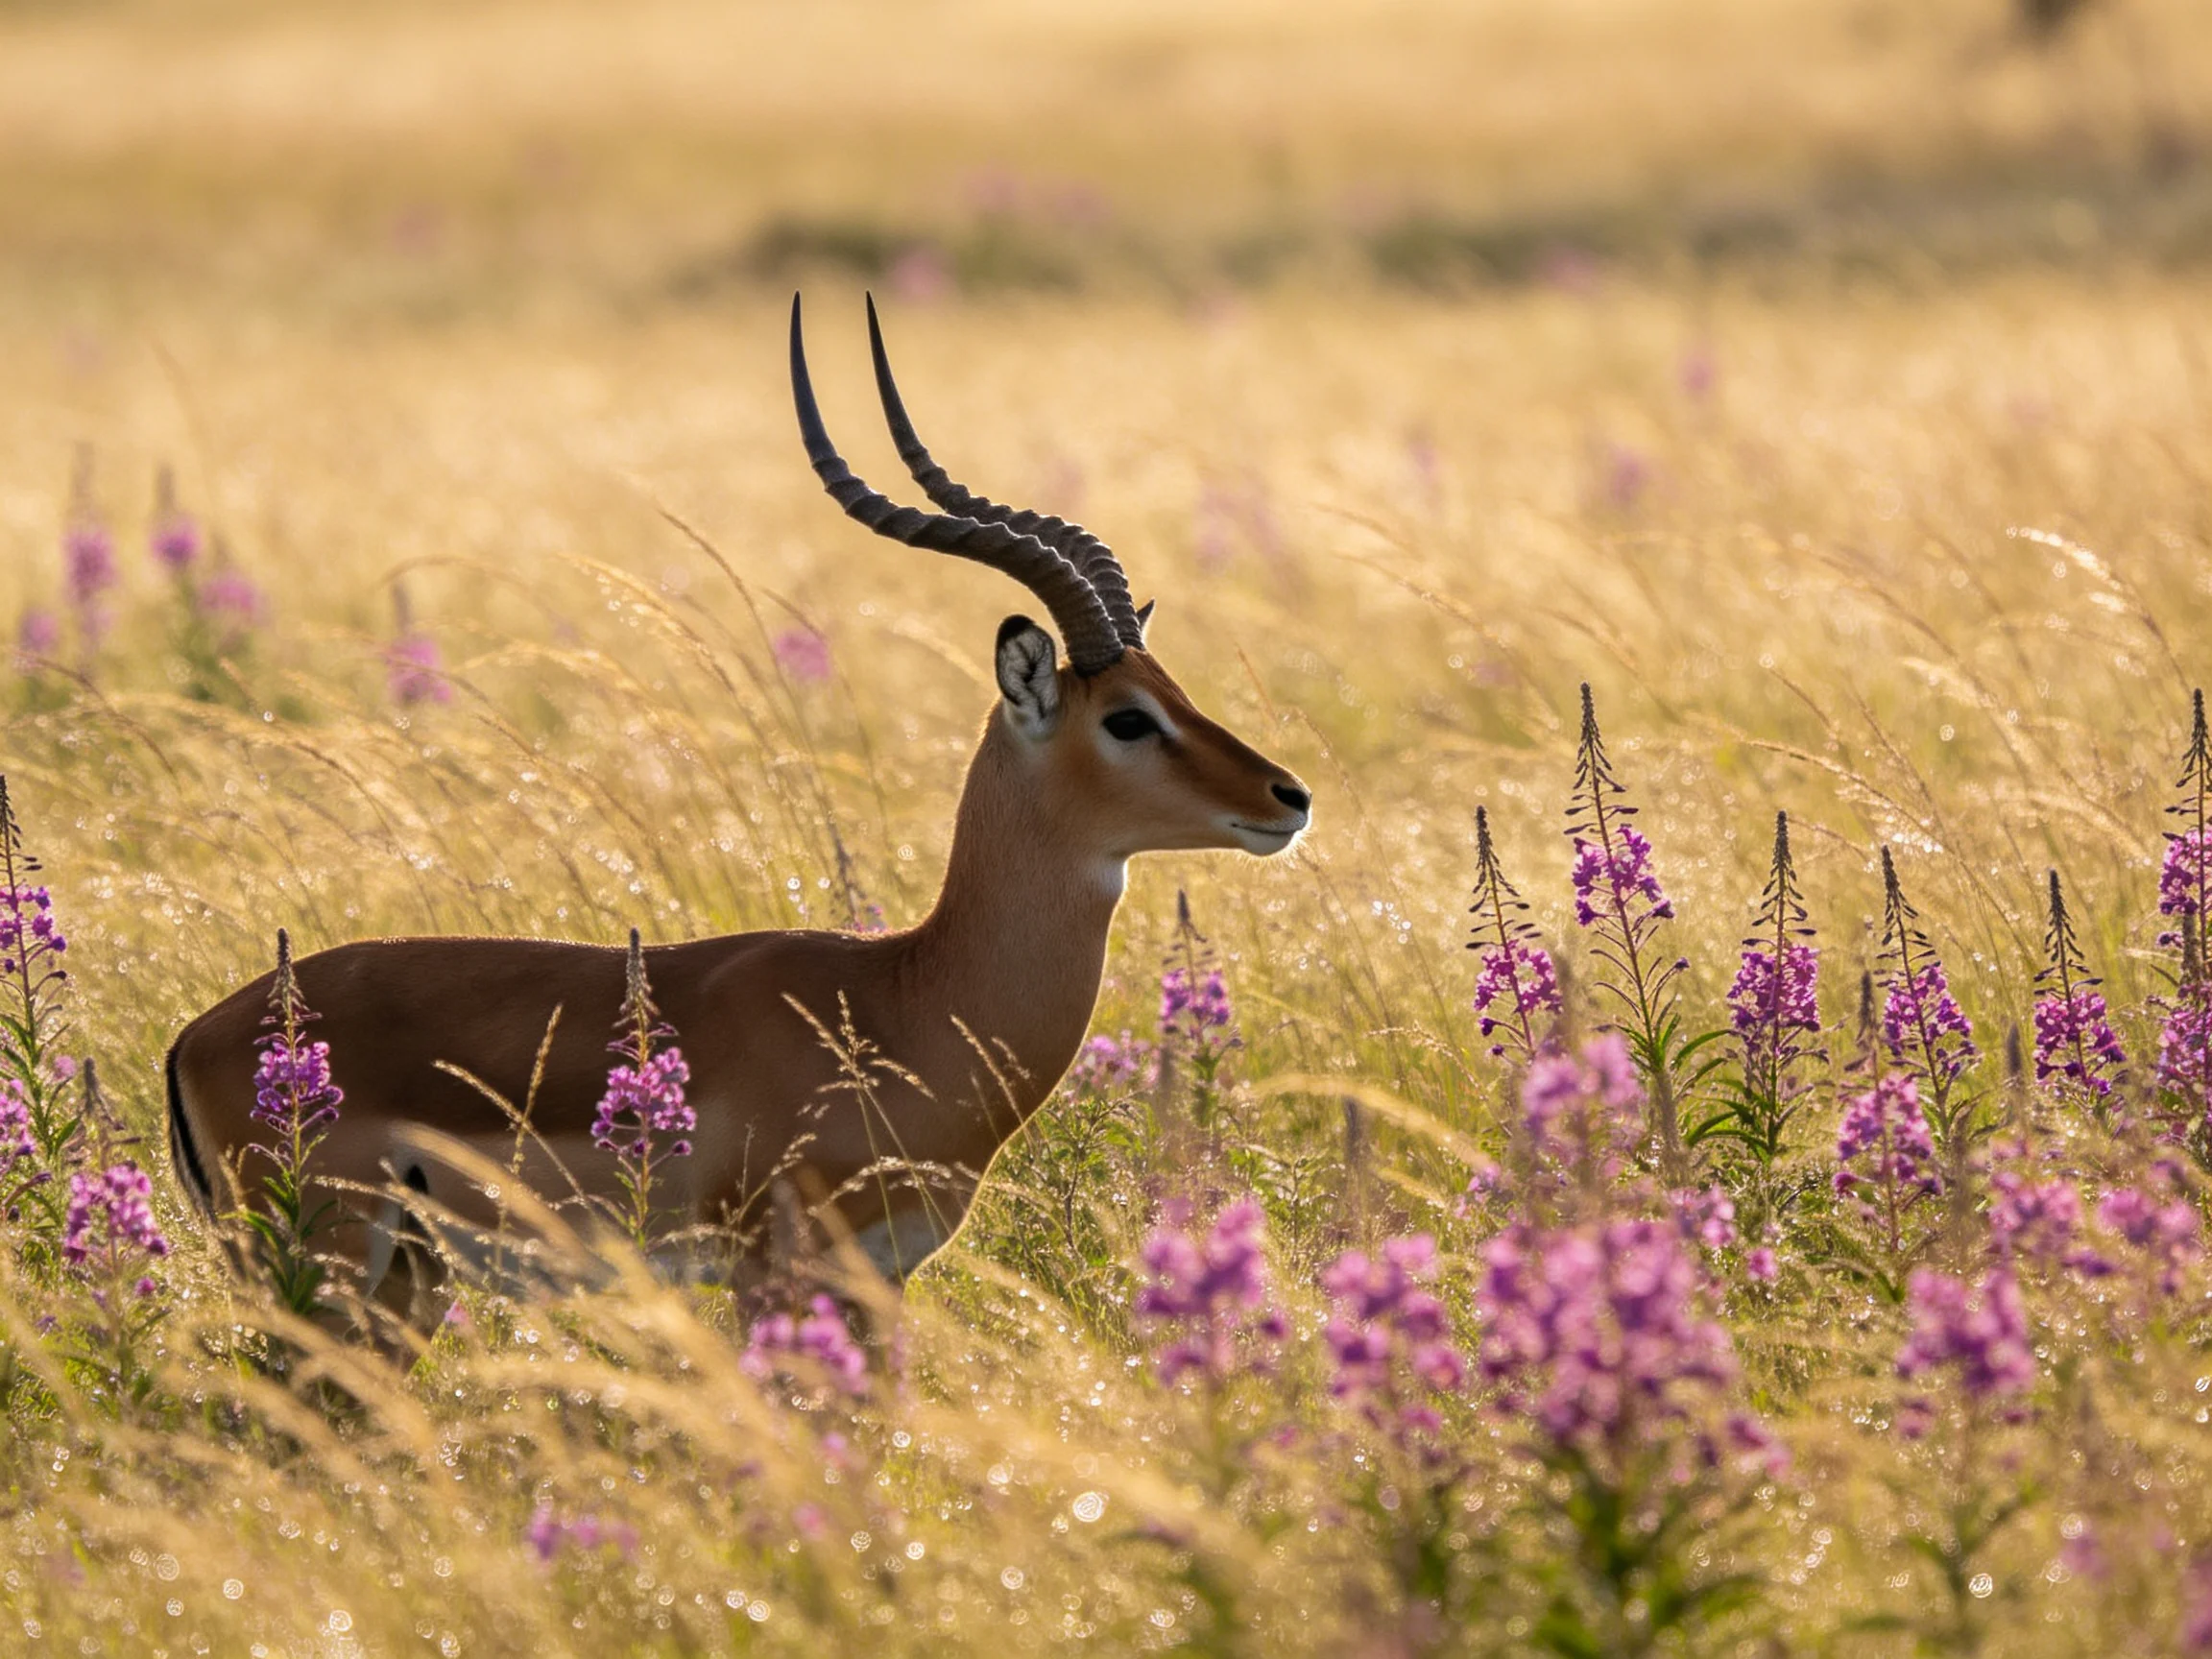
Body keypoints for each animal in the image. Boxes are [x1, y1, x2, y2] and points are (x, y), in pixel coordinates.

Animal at [165, 295, 1313, 1322]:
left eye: (1174, 687)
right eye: (1126, 719)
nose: (1287, 796)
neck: (904, 999)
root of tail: (194, 1037)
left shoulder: (881, 1276)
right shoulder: (775, 1269)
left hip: (405, 1284)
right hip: (327, 1271)